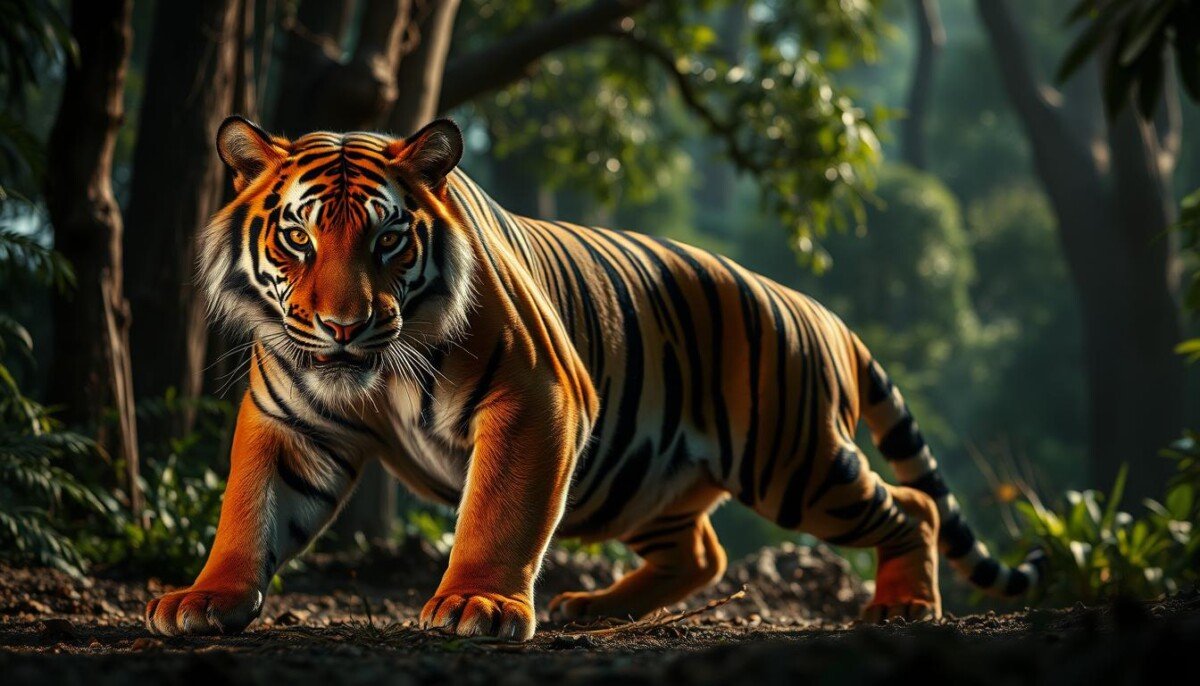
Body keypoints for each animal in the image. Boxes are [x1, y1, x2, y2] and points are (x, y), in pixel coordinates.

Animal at [144, 116, 1045, 640]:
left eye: (387, 240)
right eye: (298, 238)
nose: (340, 326)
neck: (370, 375)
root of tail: (821, 310)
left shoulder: (534, 399)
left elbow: (499, 513)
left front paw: (475, 604)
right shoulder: (289, 420)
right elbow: (250, 512)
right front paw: (206, 598)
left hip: (794, 464)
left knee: (913, 505)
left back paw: (903, 606)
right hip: (643, 480)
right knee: (703, 552)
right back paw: (594, 607)